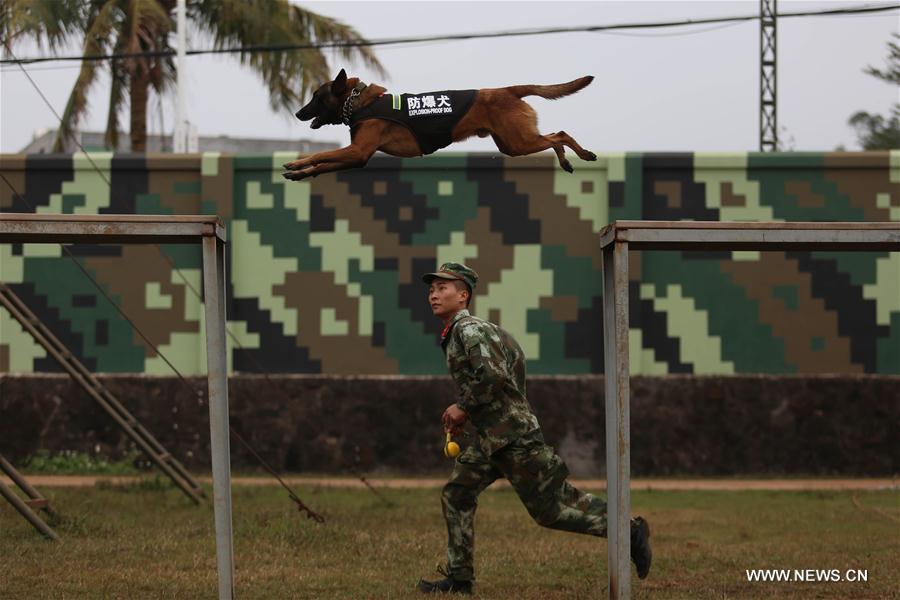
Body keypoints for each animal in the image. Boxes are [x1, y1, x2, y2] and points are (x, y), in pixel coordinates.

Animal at [284, 68, 596, 180]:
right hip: (511, 145)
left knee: (560, 134)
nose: (298, 114)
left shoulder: (357, 152)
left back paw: (583, 155)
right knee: (554, 137)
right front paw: (301, 173)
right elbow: (323, 164)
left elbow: (321, 154)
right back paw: (566, 161)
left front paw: (297, 163)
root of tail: (508, 90)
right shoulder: (356, 157)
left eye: (316, 97)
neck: (359, 101)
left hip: (519, 141)